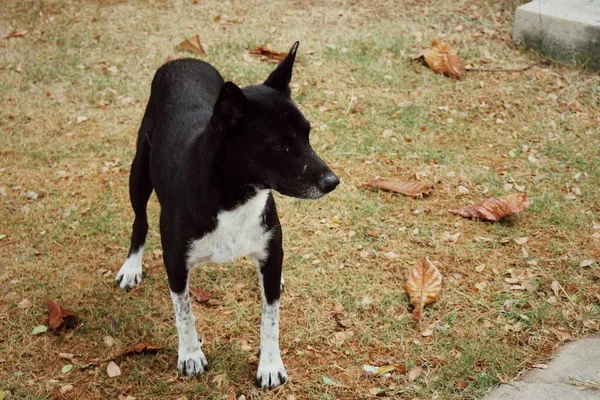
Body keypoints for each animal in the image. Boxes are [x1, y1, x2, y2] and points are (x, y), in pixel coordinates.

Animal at [113, 42, 338, 390]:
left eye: (308, 133)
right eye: (278, 146)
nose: (332, 182)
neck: (236, 199)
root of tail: (184, 60)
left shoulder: (269, 250)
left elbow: (270, 318)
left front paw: (270, 365)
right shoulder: (175, 262)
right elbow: (184, 312)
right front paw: (190, 355)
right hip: (139, 170)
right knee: (140, 220)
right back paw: (132, 266)